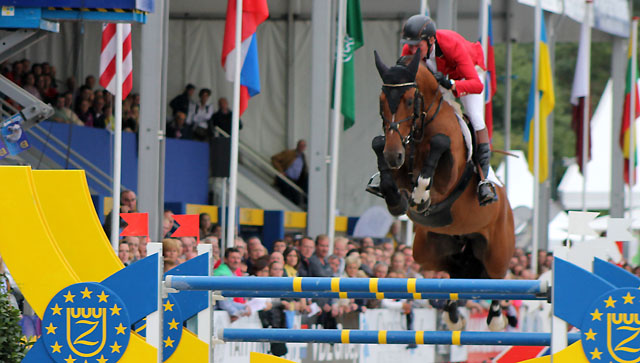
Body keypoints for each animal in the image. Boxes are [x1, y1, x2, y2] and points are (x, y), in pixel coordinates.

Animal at [376, 51, 516, 332]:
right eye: (381, 101)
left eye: (410, 100)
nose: (394, 155)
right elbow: (379, 147)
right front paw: (397, 200)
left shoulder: (447, 180)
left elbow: (440, 144)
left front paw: (420, 196)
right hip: (427, 250)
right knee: (457, 270)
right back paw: (452, 314)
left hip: (498, 249)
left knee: (497, 277)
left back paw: (496, 318)